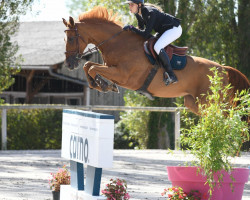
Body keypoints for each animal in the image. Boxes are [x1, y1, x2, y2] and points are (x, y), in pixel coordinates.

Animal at [61, 6, 249, 114]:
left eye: (71, 39)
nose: (69, 64)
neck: (118, 43)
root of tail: (223, 68)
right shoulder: (110, 67)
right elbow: (88, 65)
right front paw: (100, 84)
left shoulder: (124, 76)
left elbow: (92, 67)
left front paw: (104, 85)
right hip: (194, 103)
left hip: (210, 102)